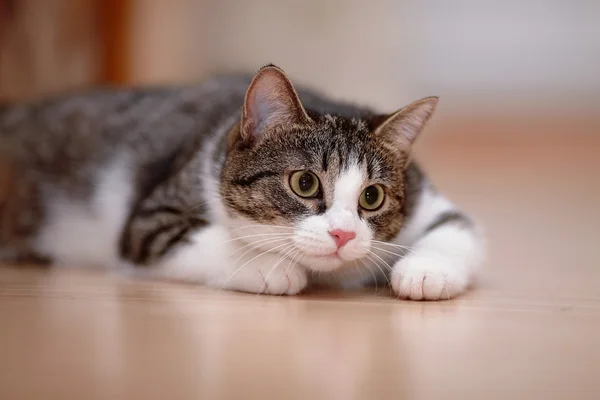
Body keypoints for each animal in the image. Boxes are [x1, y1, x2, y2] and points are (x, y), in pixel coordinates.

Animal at [0, 63, 482, 300]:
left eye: (373, 196)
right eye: (305, 184)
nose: (344, 234)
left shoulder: (427, 198)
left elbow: (460, 229)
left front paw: (425, 271)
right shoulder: (150, 220)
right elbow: (203, 238)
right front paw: (269, 265)